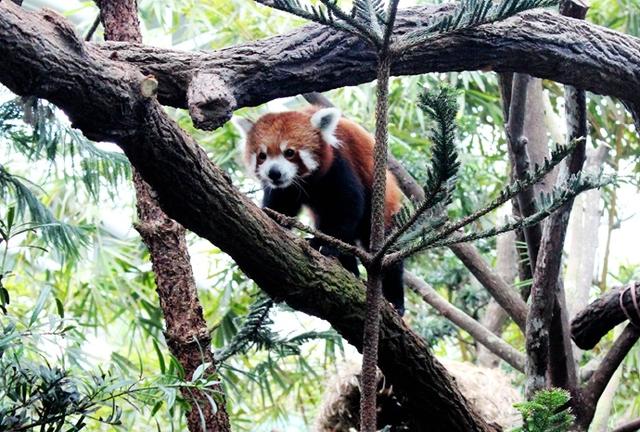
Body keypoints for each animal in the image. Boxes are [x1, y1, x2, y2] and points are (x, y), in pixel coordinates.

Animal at [238, 105, 408, 314]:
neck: (307, 182)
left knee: (388, 251)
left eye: (289, 152)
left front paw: (328, 246)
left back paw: (395, 299)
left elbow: (348, 206)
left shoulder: (339, 164)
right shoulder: (284, 189)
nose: (274, 173)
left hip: (383, 208)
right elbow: (279, 207)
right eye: (262, 156)